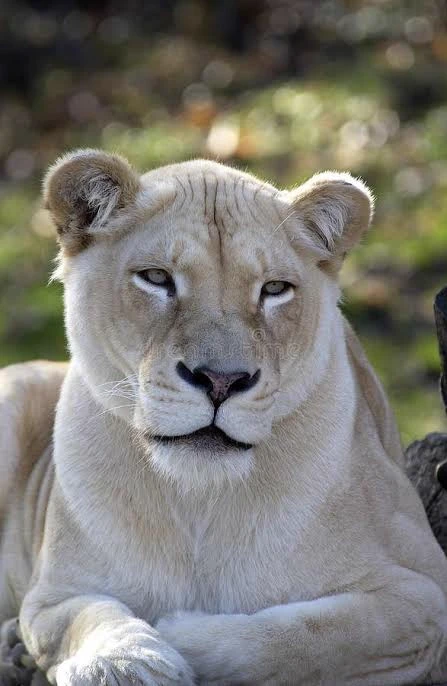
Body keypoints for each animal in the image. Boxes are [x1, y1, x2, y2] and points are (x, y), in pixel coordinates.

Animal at [0, 150, 446, 686]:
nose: (220, 380)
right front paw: (128, 661)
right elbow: (88, 617)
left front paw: (179, 633)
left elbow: (303, 641)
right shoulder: (51, 597)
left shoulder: (422, 595)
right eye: (157, 278)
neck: (200, 498)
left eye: (274, 289)